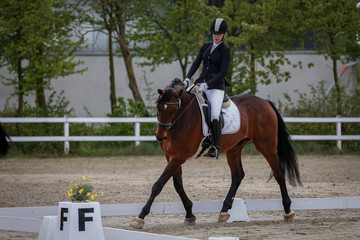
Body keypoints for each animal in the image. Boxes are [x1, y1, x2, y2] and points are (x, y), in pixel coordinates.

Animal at [129, 78, 300, 229]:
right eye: (158, 108)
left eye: (173, 109)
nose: (160, 136)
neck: (182, 118)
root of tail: (264, 102)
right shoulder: (171, 156)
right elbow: (178, 185)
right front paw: (190, 214)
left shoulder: (179, 157)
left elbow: (158, 185)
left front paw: (140, 217)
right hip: (234, 148)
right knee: (238, 175)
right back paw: (224, 211)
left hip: (267, 146)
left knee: (279, 173)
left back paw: (288, 211)